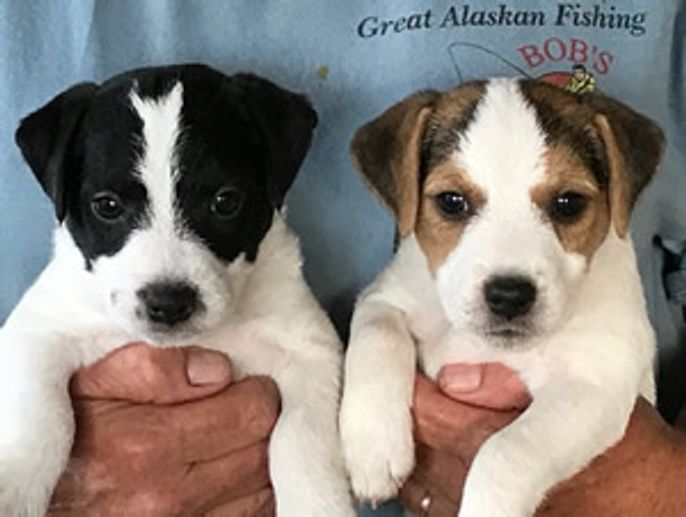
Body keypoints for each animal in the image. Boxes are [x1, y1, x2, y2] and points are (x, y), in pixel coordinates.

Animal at [0, 64, 353, 517]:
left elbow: (300, 440)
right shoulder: (37, 331)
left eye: (225, 201)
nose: (167, 304)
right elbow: (42, 418)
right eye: (108, 205)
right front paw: (15, 484)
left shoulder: (310, 350)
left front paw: (318, 503)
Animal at [339, 78, 664, 516]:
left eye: (568, 203)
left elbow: (508, 449)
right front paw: (373, 446)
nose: (509, 295)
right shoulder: (384, 297)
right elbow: (377, 336)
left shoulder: (595, 381)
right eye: (451, 201)